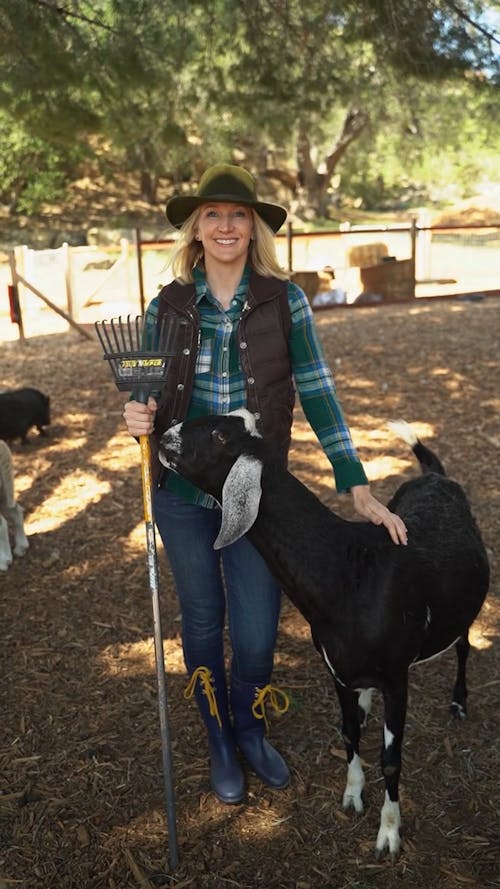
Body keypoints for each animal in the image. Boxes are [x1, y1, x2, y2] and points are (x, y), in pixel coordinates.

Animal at [159, 408, 488, 852]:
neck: (348, 572)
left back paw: (458, 702)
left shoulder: (396, 678)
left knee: (464, 646)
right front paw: (352, 795)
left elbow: (391, 759)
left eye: (219, 435)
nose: (163, 436)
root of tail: (437, 477)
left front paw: (389, 833)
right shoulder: (337, 671)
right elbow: (348, 733)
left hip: (463, 616)